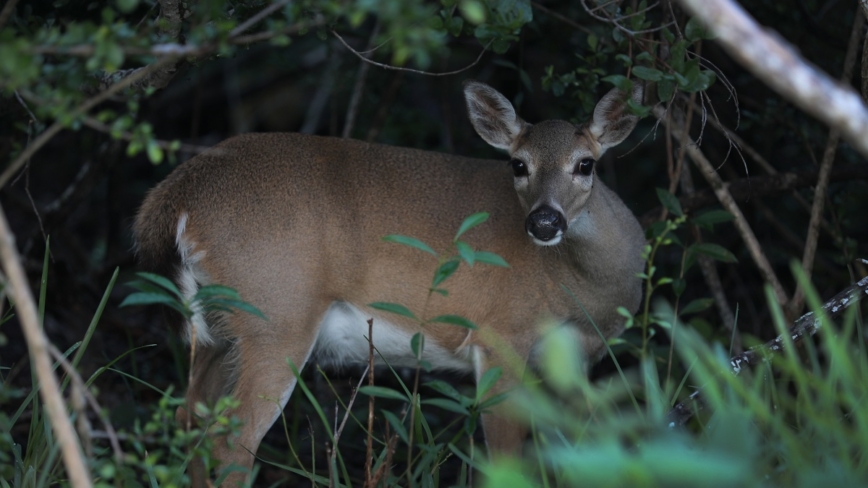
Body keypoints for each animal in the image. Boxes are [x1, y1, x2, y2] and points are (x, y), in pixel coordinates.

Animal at [136, 80, 648, 484]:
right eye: (518, 164)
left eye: (586, 164)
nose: (543, 222)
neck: (580, 290)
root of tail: (176, 197)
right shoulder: (500, 335)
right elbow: (505, 460)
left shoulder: (573, 363)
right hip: (275, 314)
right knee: (233, 439)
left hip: (216, 329)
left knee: (190, 417)